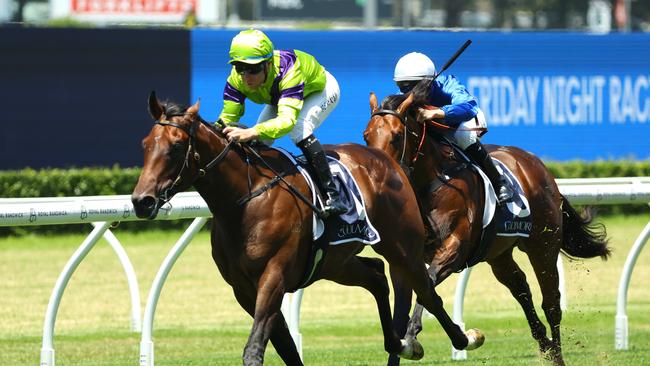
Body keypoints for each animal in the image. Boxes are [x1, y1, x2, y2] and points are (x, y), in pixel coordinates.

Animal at [132, 93, 484, 364]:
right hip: (334, 262)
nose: (141, 201)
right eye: (146, 144)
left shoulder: (274, 275)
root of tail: (386, 159)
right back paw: (396, 342)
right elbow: (285, 347)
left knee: (426, 291)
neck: (245, 199)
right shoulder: (243, 289)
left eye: (176, 146)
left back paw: (455, 339)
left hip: (403, 247)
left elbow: (255, 348)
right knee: (376, 275)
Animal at [362, 83, 612, 366]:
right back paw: (545, 343)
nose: (379, 171)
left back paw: (556, 354)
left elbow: (427, 284)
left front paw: (413, 336)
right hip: (498, 254)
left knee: (551, 302)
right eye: (366, 136)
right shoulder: (407, 256)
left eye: (395, 136)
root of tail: (539, 167)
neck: (433, 181)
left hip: (543, 245)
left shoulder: (454, 249)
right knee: (521, 288)